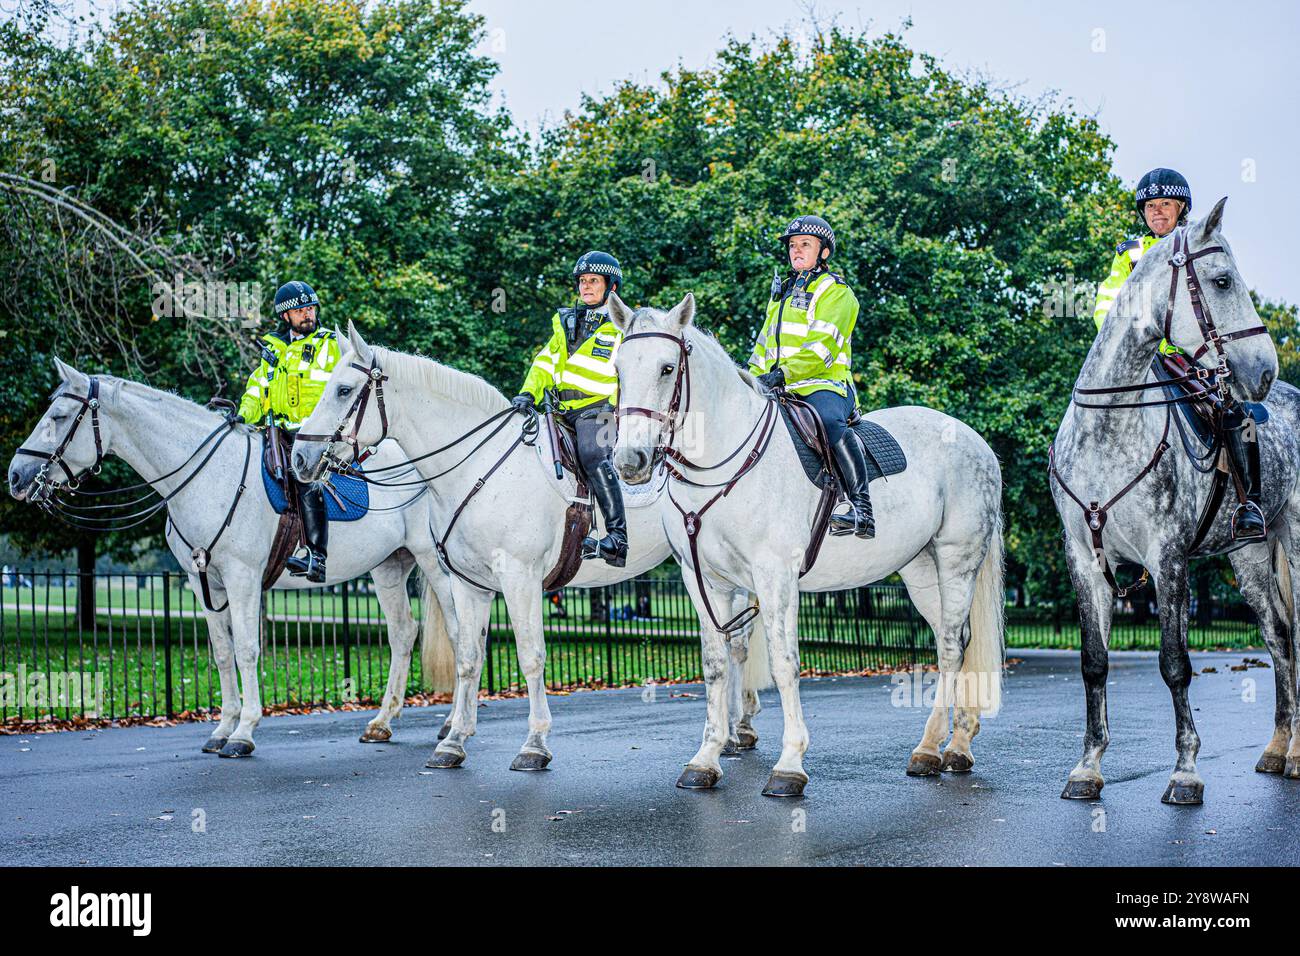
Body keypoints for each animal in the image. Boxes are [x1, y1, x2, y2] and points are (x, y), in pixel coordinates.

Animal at [6, 358, 457, 754]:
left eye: (60, 416)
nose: (15, 476)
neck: (207, 475)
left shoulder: (242, 579)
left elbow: (246, 649)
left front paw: (244, 732)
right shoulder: (202, 581)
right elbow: (223, 653)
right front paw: (222, 728)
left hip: (434, 563)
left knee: (456, 632)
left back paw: (451, 724)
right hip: (389, 566)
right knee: (403, 633)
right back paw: (382, 722)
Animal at [608, 293, 1003, 801]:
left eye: (666, 368)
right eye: (618, 368)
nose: (630, 461)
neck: (723, 465)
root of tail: (974, 440)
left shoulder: (775, 578)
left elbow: (784, 664)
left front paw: (790, 764)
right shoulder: (704, 581)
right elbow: (716, 664)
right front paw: (706, 758)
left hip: (957, 561)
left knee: (953, 647)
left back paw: (933, 748)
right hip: (921, 572)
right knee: (954, 642)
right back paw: (954, 743)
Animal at [1050, 197, 1294, 806]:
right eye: (1222, 279)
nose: (1264, 370)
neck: (1109, 430)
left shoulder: (1169, 560)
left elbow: (1175, 665)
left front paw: (1185, 771)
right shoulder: (1085, 561)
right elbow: (1094, 664)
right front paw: (1087, 766)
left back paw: (1295, 754)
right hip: (1249, 559)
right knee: (1280, 639)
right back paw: (1279, 749)